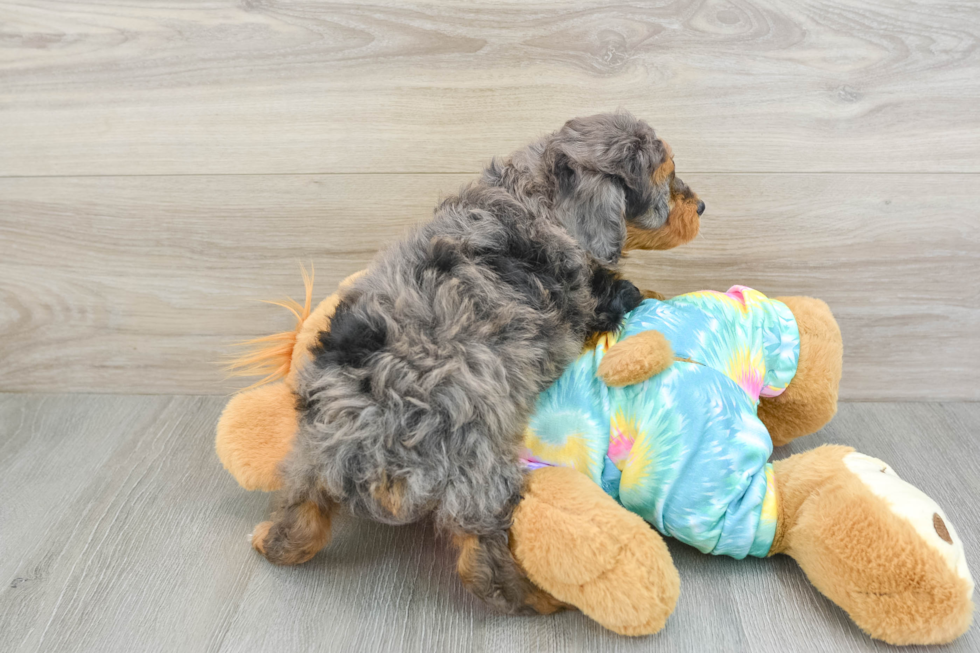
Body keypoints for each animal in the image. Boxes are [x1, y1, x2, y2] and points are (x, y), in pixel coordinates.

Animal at [253, 111, 704, 612]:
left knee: (301, 510)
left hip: (310, 454)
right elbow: (631, 291)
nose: (702, 206)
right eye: (666, 177)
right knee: (481, 559)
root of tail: (368, 442)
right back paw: (535, 597)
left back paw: (271, 540)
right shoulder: (592, 298)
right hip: (478, 466)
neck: (537, 195)